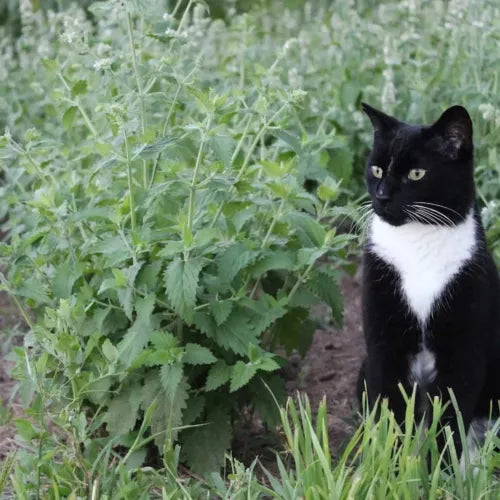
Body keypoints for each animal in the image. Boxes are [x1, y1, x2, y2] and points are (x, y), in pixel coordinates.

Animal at [356, 102, 500, 458]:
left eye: (416, 174)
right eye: (376, 170)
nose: (381, 196)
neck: (417, 244)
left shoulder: (463, 346)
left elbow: (450, 420)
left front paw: (442, 468)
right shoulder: (384, 341)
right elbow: (389, 410)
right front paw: (390, 464)